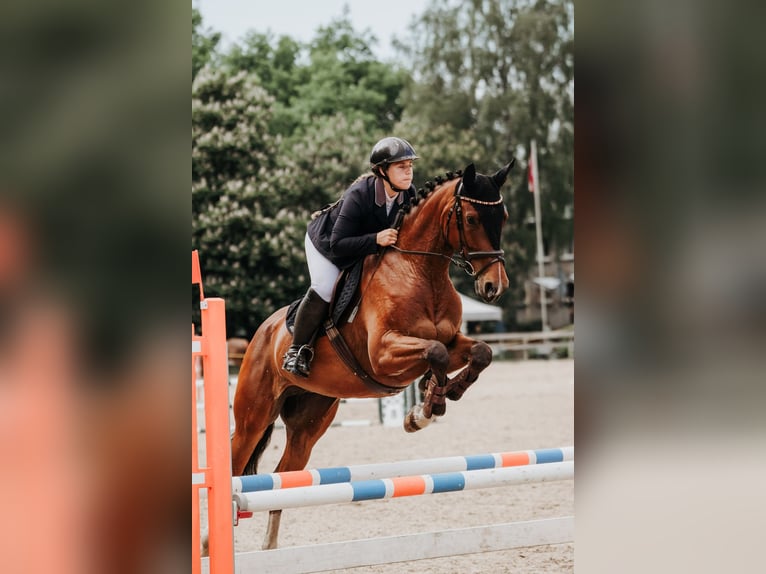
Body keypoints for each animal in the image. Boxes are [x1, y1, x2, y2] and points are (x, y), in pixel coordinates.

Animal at [230, 160, 516, 552]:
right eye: (471, 218)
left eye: (503, 216)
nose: (494, 286)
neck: (420, 271)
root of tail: (262, 332)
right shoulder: (384, 354)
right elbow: (436, 353)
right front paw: (423, 411)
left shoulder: (452, 340)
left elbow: (479, 352)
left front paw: (439, 396)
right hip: (253, 417)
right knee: (234, 462)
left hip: (310, 419)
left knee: (283, 477)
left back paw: (269, 548)